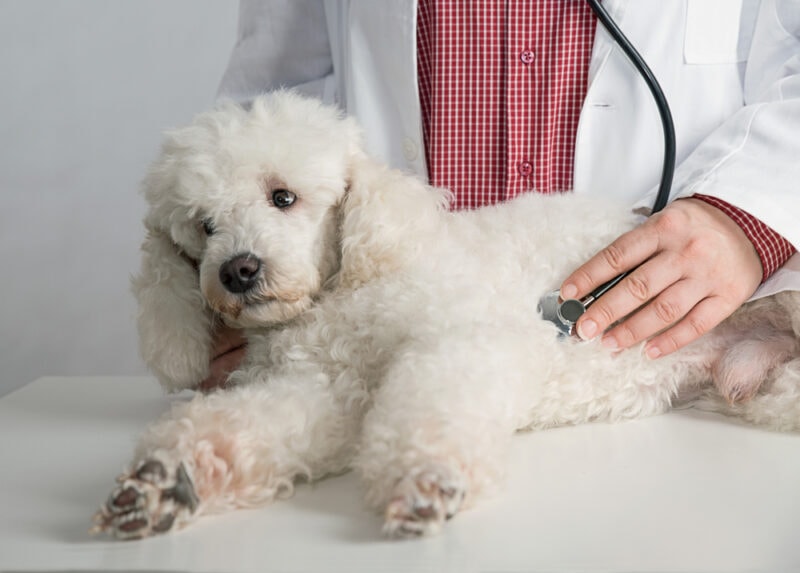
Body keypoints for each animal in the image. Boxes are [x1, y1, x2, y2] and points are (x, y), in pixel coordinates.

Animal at [90, 91, 800, 540]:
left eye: (283, 197)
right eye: (201, 229)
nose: (237, 270)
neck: (344, 293)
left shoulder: (464, 339)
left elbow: (432, 407)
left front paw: (426, 479)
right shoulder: (327, 392)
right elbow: (252, 425)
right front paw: (165, 483)